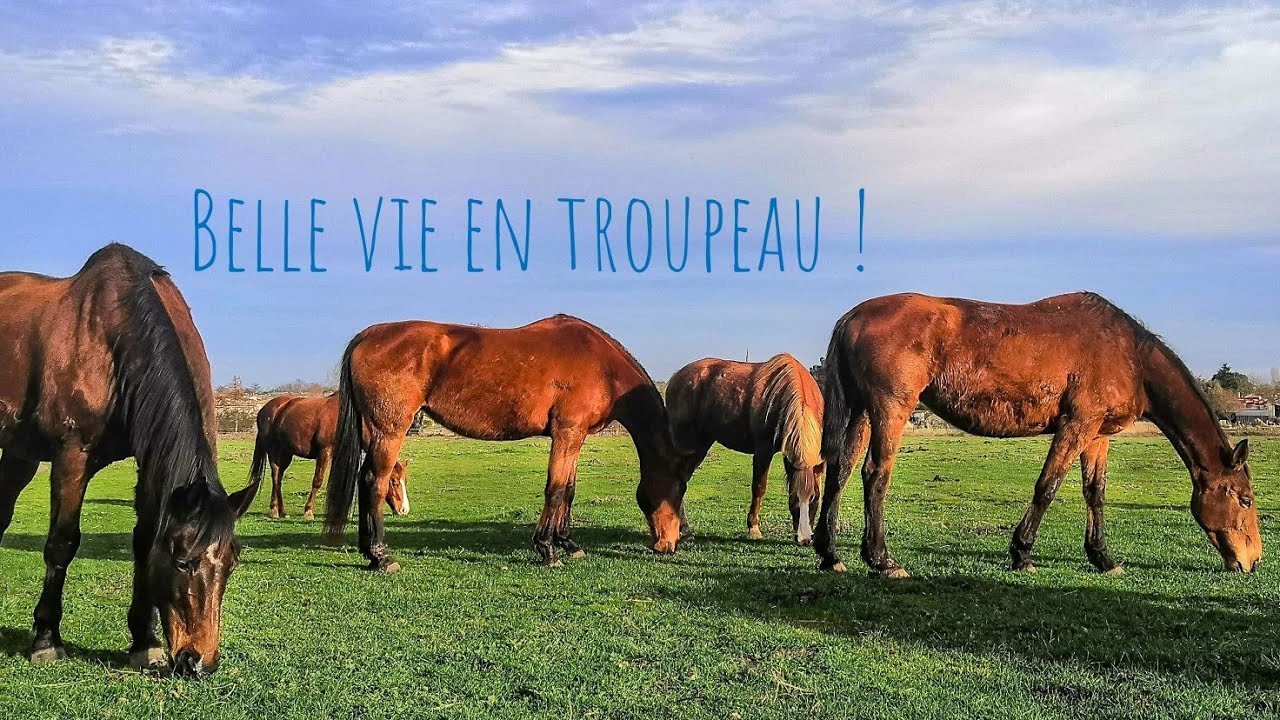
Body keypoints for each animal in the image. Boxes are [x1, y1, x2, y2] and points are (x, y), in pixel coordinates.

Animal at [0, 244, 255, 677]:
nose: (198, 661)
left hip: (18, 455)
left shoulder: (151, 462)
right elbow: (61, 544)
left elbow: (144, 540)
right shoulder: (72, 456)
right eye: (183, 562)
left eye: (232, 563)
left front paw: (145, 642)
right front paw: (47, 640)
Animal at [245, 393, 410, 520]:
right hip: (274, 452)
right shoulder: (325, 452)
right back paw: (277, 511)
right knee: (276, 477)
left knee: (278, 477)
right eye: (394, 481)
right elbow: (317, 481)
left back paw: (278, 510)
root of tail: (265, 410)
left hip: (286, 453)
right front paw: (309, 511)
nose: (404, 510)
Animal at [323, 314, 690, 572]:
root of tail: (368, 336)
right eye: (678, 488)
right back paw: (382, 556)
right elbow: (556, 489)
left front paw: (568, 543)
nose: (673, 541)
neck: (601, 365)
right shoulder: (567, 433)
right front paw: (547, 549)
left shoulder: (577, 436)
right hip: (389, 430)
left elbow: (569, 490)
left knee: (364, 480)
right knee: (376, 481)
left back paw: (368, 552)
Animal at [667, 354, 825, 544]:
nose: (805, 539)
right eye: (795, 497)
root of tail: (676, 378)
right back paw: (683, 530)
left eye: (814, 498)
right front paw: (754, 528)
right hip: (689, 446)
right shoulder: (763, 450)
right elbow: (759, 488)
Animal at [815, 292, 1262, 578]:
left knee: (838, 472)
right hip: (891, 410)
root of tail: (852, 317)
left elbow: (1094, 493)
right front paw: (1022, 552)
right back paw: (882, 560)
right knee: (875, 475)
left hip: (862, 413)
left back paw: (830, 554)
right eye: (1245, 499)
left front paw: (1103, 558)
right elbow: (1047, 486)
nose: (1253, 561)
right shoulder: (1076, 426)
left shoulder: (1097, 435)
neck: (1128, 355)